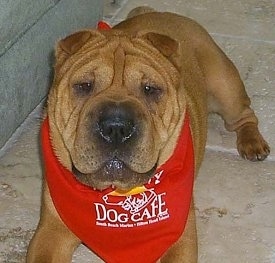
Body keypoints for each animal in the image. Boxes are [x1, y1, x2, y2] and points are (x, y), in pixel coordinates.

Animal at [27, 6, 270, 263]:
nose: (116, 127)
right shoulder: (51, 231)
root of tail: (158, 11)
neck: (119, 195)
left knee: (246, 116)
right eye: (83, 86)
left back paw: (252, 143)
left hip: (225, 90)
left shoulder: (181, 237)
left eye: (150, 89)